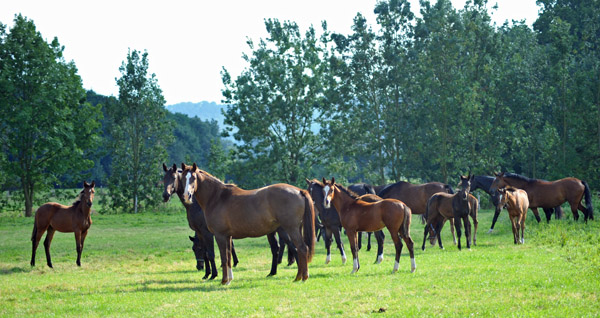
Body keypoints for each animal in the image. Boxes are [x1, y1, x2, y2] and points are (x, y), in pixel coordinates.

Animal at [180, 163, 316, 284]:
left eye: (193, 178)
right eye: (183, 178)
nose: (187, 196)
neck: (217, 198)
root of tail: (299, 191)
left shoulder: (219, 235)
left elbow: (224, 258)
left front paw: (223, 281)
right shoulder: (228, 237)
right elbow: (229, 257)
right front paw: (229, 280)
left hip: (291, 229)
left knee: (302, 248)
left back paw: (303, 277)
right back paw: (298, 276)